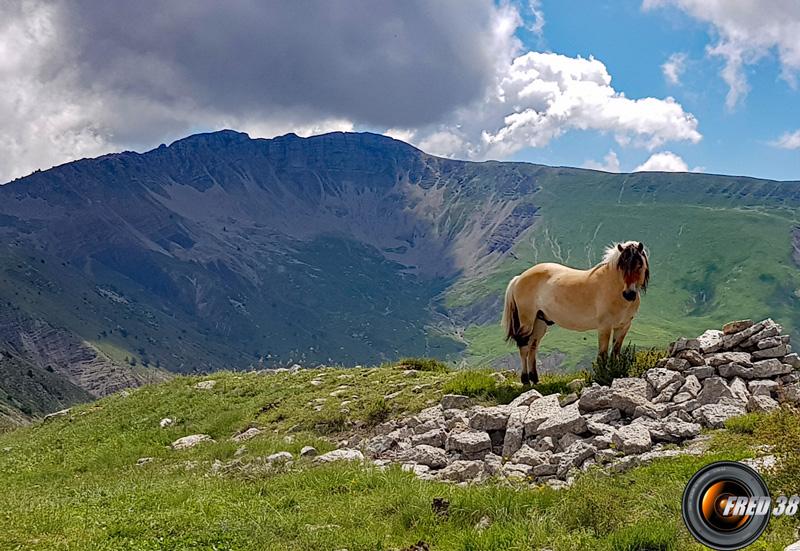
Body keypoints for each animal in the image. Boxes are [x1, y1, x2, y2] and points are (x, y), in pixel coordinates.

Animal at [500, 242, 648, 384]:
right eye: (622, 266)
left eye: (639, 265)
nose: (629, 294)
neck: (614, 287)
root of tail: (519, 278)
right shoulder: (604, 327)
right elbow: (603, 354)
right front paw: (602, 376)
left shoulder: (623, 326)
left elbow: (615, 352)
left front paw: (614, 372)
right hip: (527, 322)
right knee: (524, 347)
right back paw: (526, 381)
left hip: (539, 322)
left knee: (533, 347)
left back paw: (535, 379)